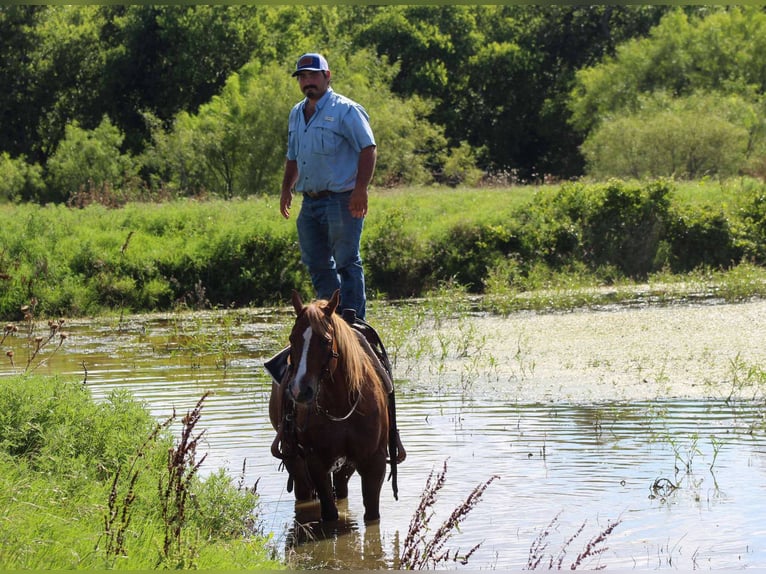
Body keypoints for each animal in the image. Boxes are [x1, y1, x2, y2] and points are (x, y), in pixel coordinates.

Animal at [269, 289, 393, 522]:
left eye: (325, 340)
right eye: (292, 338)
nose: (299, 390)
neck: (341, 405)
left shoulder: (374, 463)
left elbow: (372, 515)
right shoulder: (316, 462)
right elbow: (329, 512)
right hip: (295, 461)